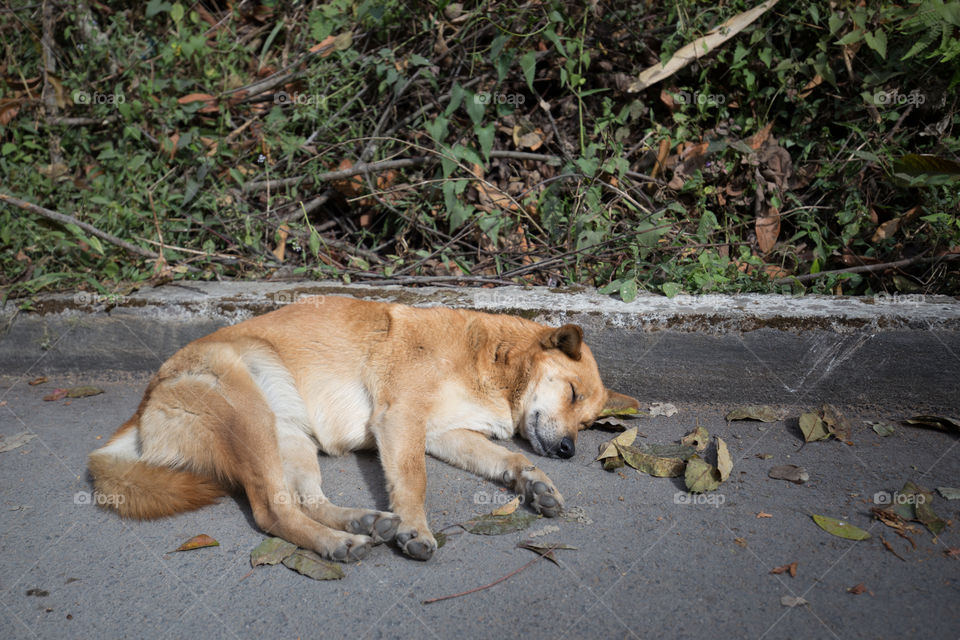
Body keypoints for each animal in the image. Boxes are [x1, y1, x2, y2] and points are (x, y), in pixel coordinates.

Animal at [90, 296, 636, 560]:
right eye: (572, 394)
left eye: (589, 423)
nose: (568, 450)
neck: (490, 361)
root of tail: (145, 404)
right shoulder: (400, 420)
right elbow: (413, 482)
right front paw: (415, 529)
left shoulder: (445, 435)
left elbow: (511, 458)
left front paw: (536, 485)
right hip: (249, 418)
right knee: (271, 510)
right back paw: (338, 543)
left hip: (291, 440)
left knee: (305, 500)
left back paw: (360, 523)